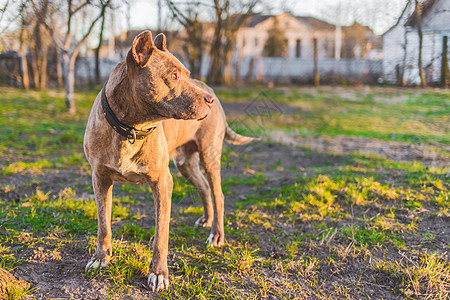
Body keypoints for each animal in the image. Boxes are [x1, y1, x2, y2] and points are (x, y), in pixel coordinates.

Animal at [83, 30, 256, 290]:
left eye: (187, 75)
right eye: (174, 76)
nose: (209, 100)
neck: (130, 129)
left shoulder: (162, 183)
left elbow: (161, 236)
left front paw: (159, 273)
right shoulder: (100, 179)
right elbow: (103, 224)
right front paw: (100, 258)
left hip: (209, 155)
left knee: (218, 193)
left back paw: (217, 235)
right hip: (185, 164)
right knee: (204, 188)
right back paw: (206, 219)